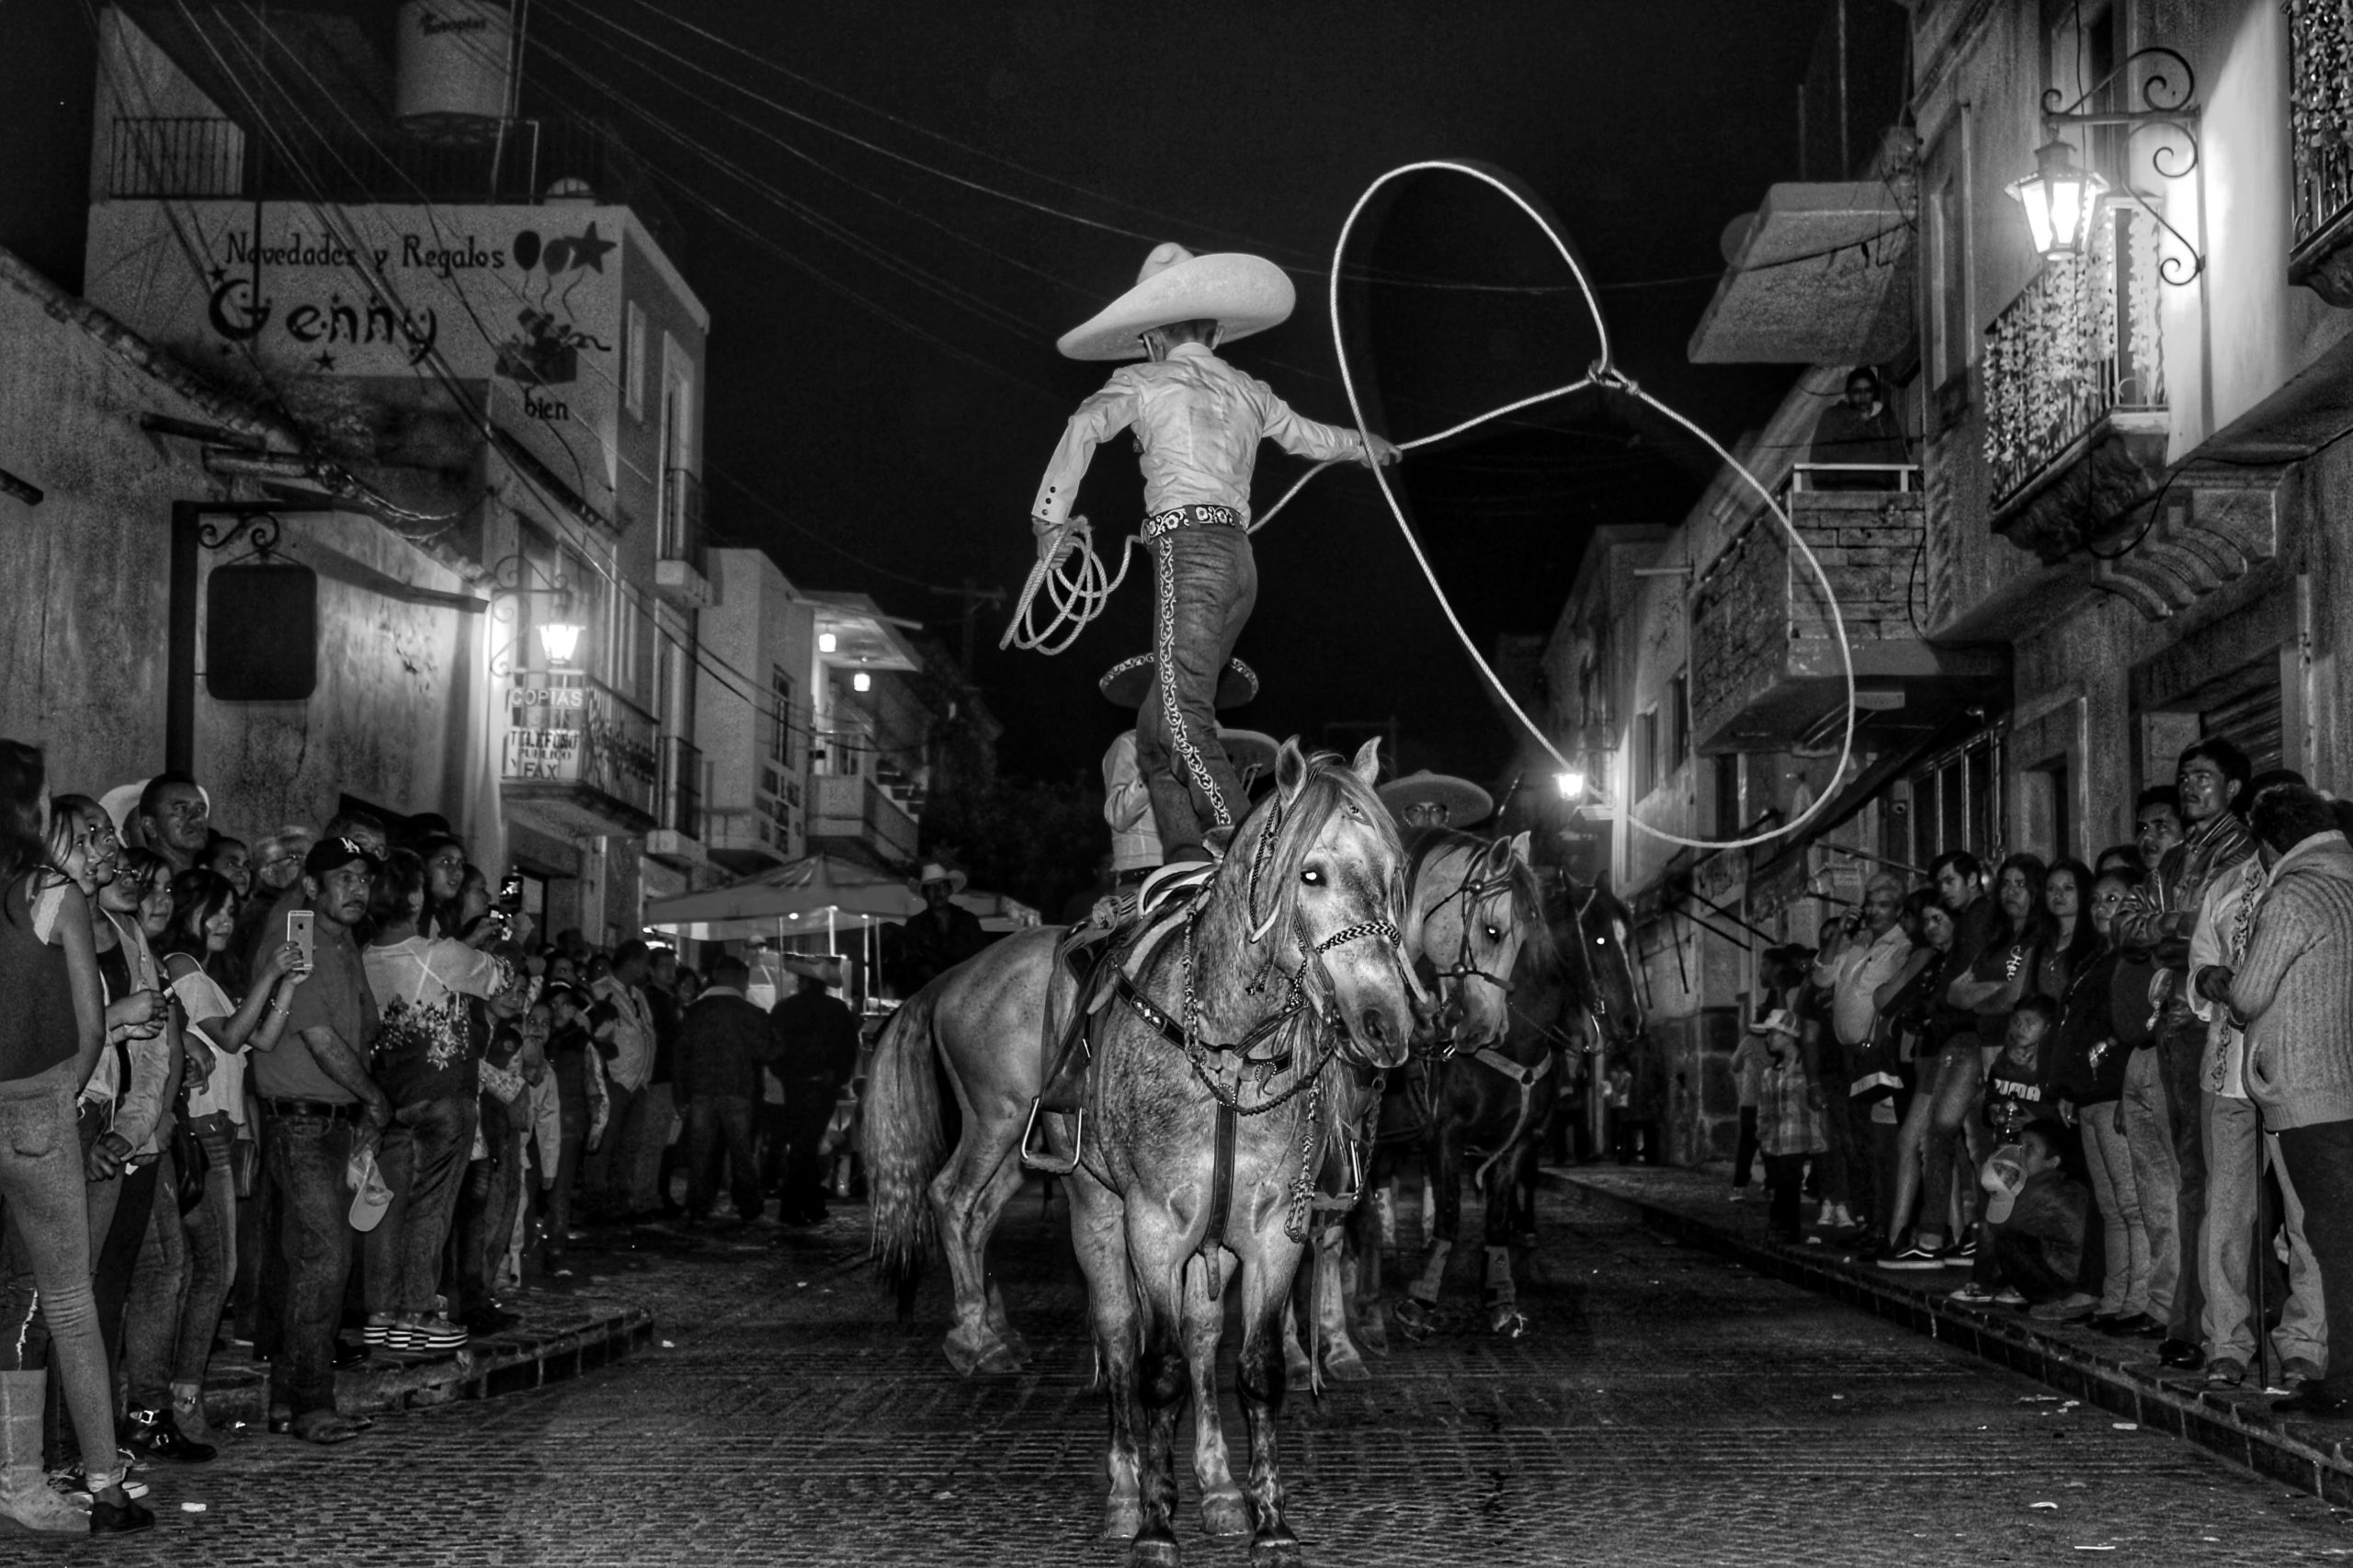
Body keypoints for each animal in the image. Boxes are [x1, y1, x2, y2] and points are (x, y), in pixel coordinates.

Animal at [866, 739, 1412, 1553]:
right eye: (1311, 872)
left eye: (1394, 873)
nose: (1389, 1023)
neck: (1228, 1050)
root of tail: (956, 977)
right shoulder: (1153, 1226)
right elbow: (1156, 1369)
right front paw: (1157, 1521)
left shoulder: (1265, 1234)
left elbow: (1251, 1367)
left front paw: (1266, 1519)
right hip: (1037, 1157)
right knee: (1097, 1314)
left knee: (1182, 1324)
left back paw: (1212, 1484)